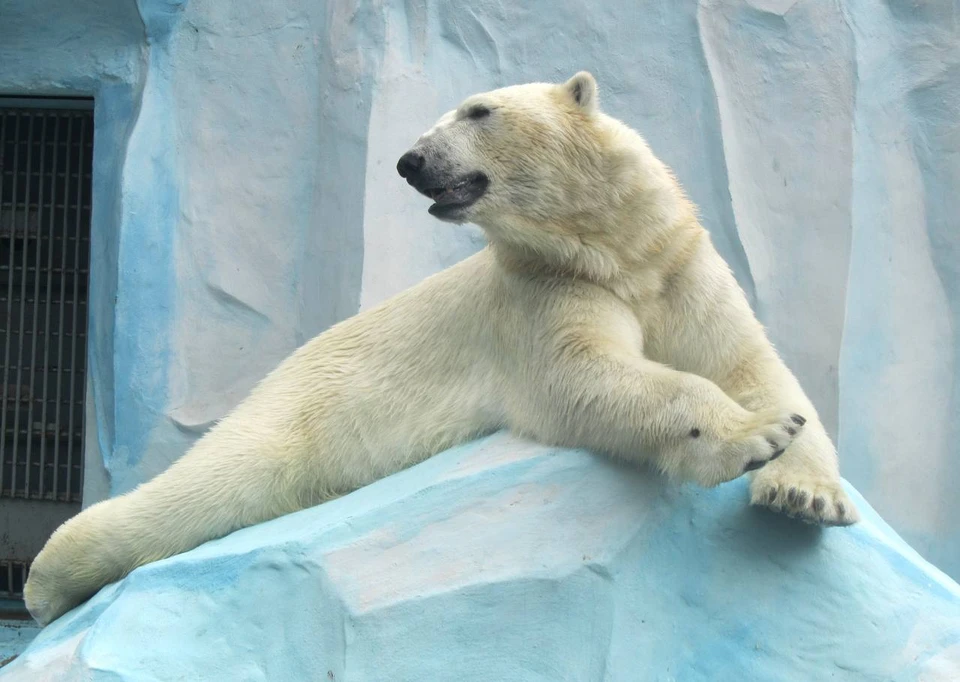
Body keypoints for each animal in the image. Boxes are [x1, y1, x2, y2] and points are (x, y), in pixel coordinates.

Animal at [22, 71, 856, 624]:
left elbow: (752, 364)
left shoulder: (676, 263)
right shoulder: (540, 291)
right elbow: (584, 374)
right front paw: (756, 436)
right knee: (207, 485)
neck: (610, 249)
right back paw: (46, 581)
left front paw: (805, 491)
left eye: (479, 110)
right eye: (449, 112)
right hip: (296, 413)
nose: (410, 161)